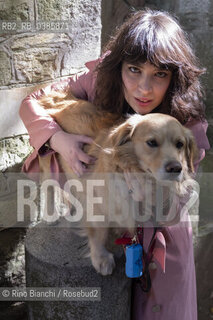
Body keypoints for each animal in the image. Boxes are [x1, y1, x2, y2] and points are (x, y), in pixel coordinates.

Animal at [37, 91, 197, 276]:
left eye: (180, 144)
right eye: (151, 142)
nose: (176, 168)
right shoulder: (97, 203)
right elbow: (98, 233)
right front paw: (100, 258)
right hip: (48, 161)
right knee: (48, 185)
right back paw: (50, 214)